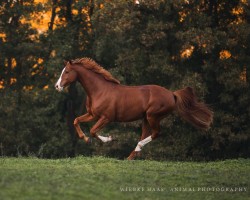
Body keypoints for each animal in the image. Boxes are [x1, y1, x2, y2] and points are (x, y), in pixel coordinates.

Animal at [55, 57, 213, 159]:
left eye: (66, 72)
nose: (57, 86)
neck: (99, 90)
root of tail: (172, 94)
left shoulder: (106, 118)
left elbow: (93, 130)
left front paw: (108, 139)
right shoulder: (92, 114)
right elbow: (76, 121)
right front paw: (85, 139)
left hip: (152, 116)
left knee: (156, 133)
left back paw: (138, 146)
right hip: (146, 119)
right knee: (147, 134)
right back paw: (130, 156)